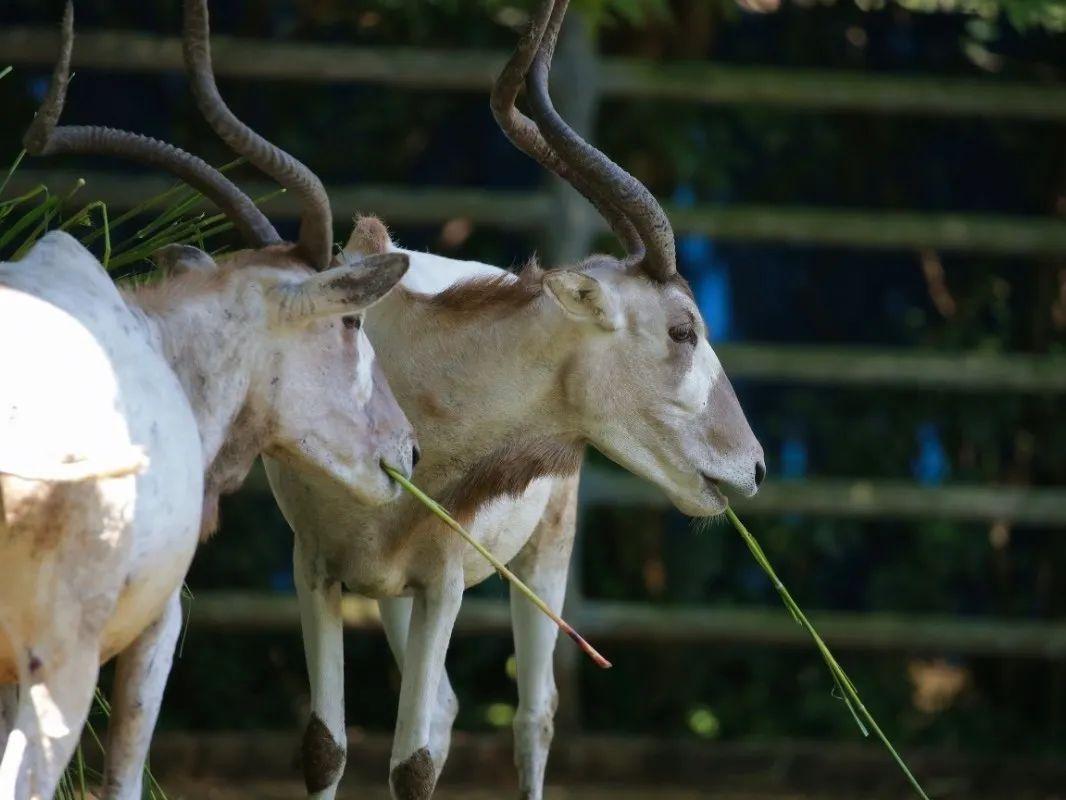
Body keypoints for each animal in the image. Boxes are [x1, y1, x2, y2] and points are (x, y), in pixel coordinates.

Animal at [265, 1, 767, 800]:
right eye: (684, 328)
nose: (752, 466)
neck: (415, 373)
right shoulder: (314, 565)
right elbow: (325, 748)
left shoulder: (441, 580)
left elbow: (415, 763)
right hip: (388, 589)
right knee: (444, 706)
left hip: (540, 555)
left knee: (532, 717)